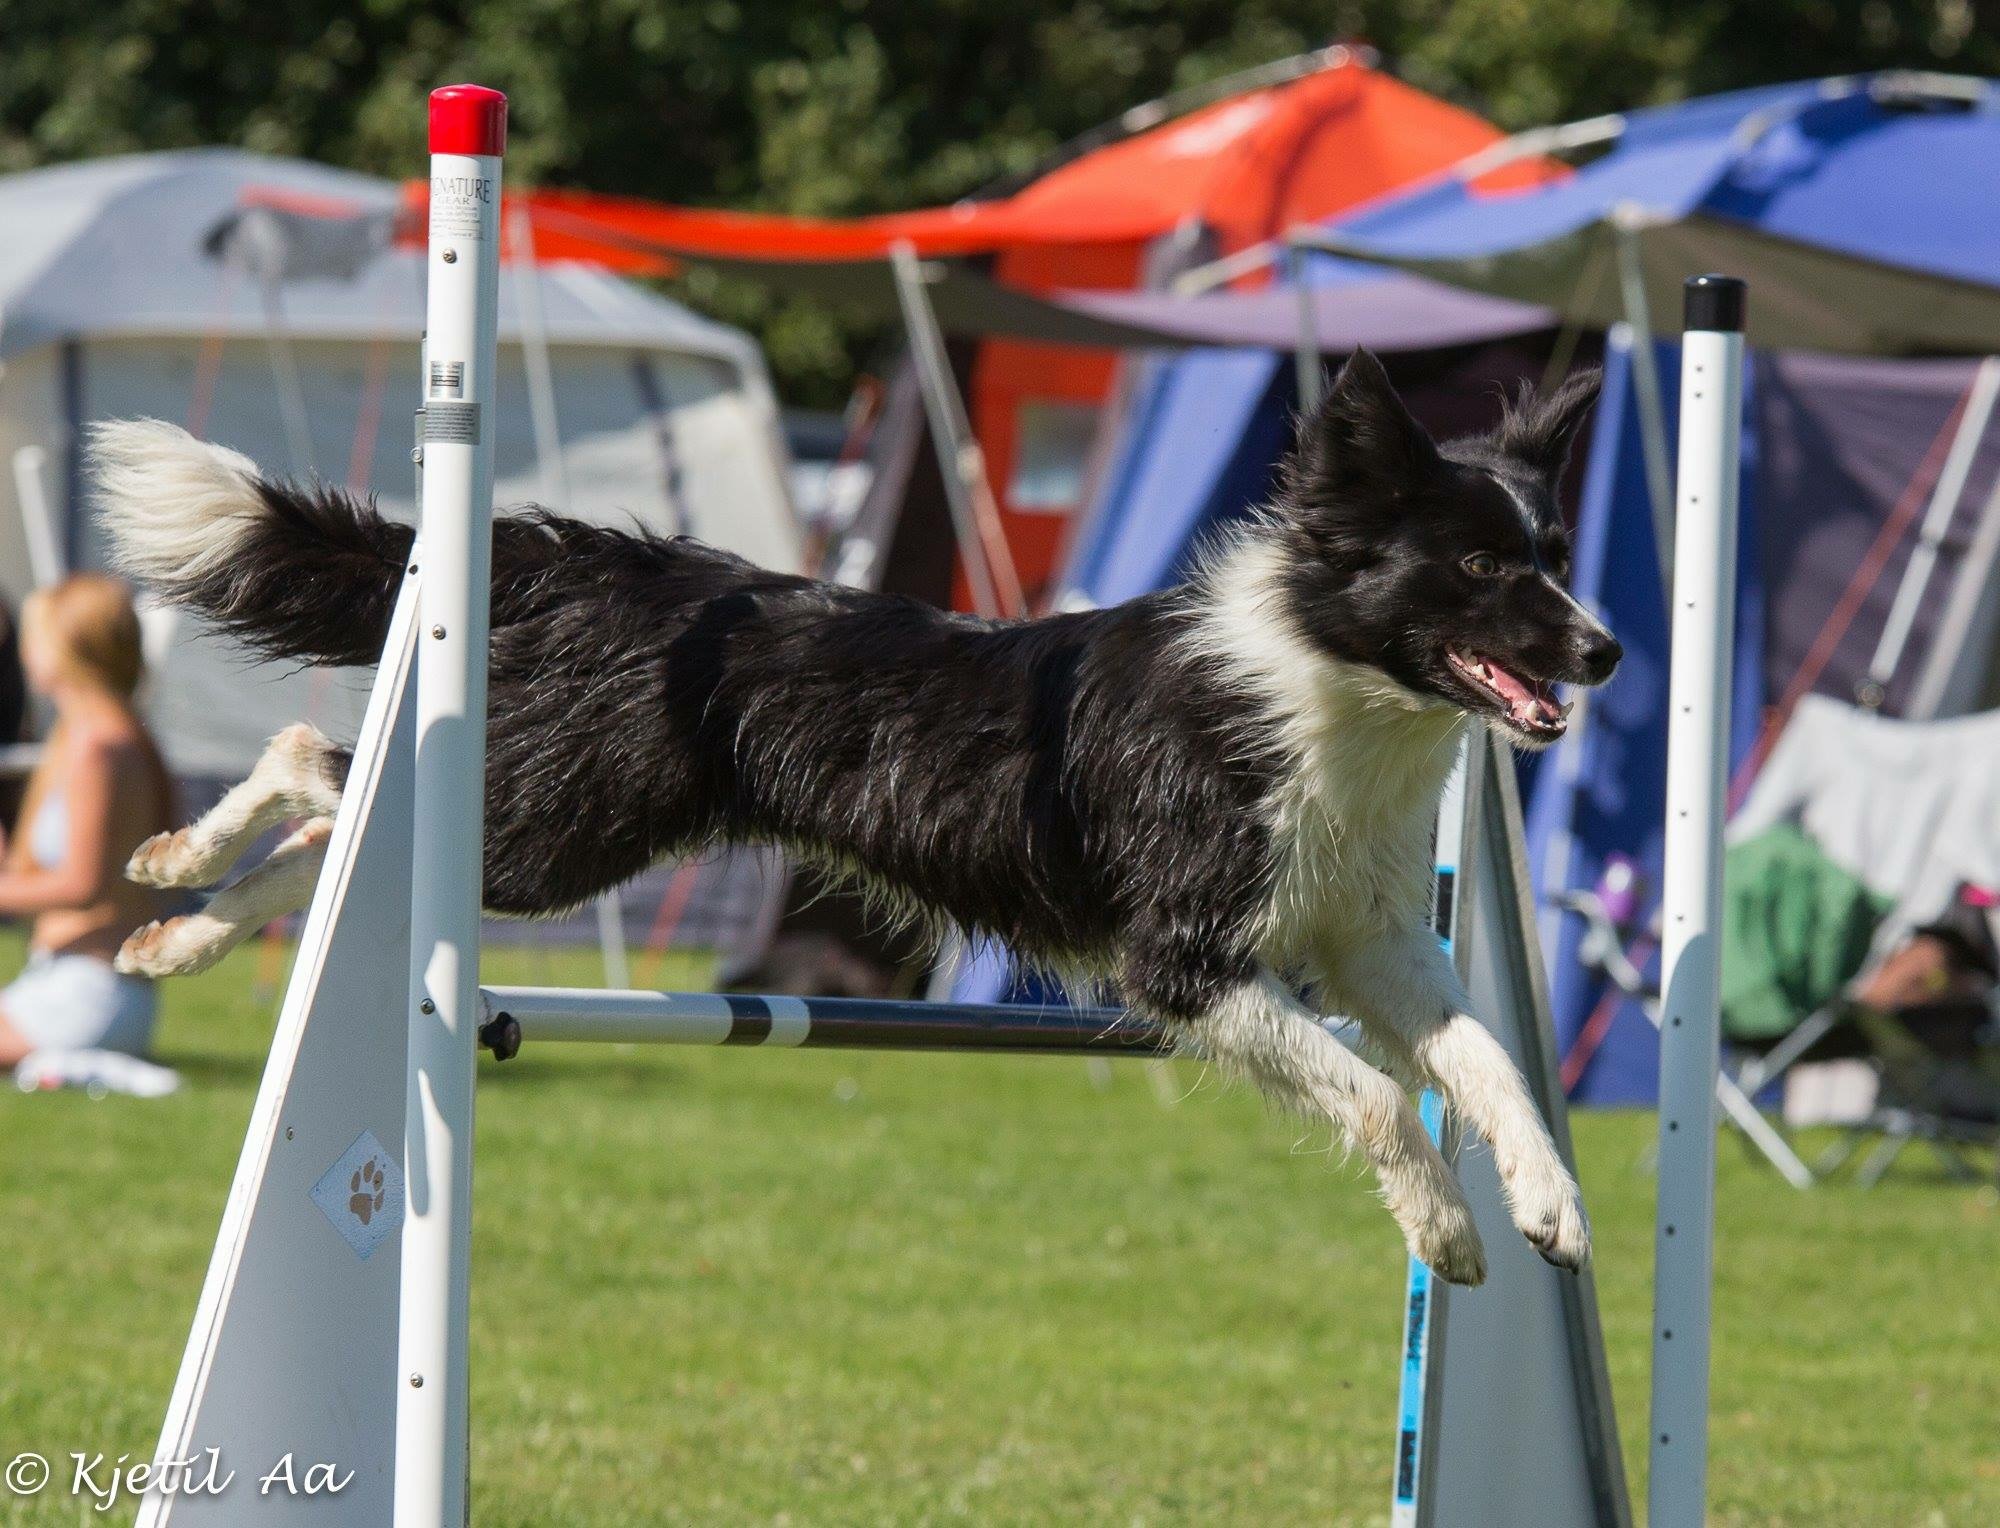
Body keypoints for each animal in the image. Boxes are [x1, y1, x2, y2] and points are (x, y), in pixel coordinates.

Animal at [101, 352, 1616, 1280]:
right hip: (555, 820)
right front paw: (1446, 1229)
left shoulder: (1372, 941)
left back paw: (180, 937)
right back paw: (177, 861)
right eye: (1481, 567)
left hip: (549, 818)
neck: (1326, 688)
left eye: (1552, 552)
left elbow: (1485, 1061)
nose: (1601, 653)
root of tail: (580, 556)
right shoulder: (1180, 959)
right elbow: (1380, 1095)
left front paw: (1549, 1200)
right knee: (315, 762)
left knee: (331, 824)